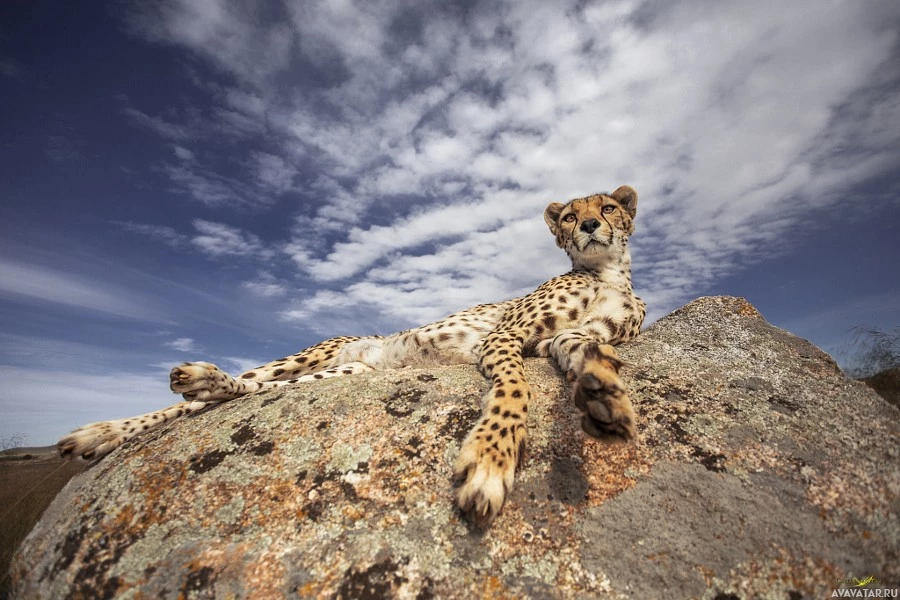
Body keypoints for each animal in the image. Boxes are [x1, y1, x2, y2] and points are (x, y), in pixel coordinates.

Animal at [58, 186, 648, 524]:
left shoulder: (564, 337)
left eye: (607, 208)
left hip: (341, 371)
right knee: (207, 394)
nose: (590, 225)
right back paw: (104, 430)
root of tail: (371, 349)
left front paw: (605, 395)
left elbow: (583, 348)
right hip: (312, 355)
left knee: (243, 393)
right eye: (570, 216)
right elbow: (514, 388)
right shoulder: (501, 337)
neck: (605, 273)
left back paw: (207, 385)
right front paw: (490, 459)